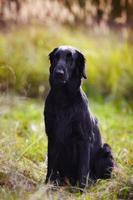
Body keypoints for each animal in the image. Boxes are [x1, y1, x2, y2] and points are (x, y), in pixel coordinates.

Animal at [44, 45, 114, 191]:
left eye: (70, 59)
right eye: (56, 57)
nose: (58, 73)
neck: (63, 100)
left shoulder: (84, 139)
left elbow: (83, 168)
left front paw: (81, 191)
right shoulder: (52, 137)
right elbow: (51, 166)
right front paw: (47, 186)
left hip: (106, 150)